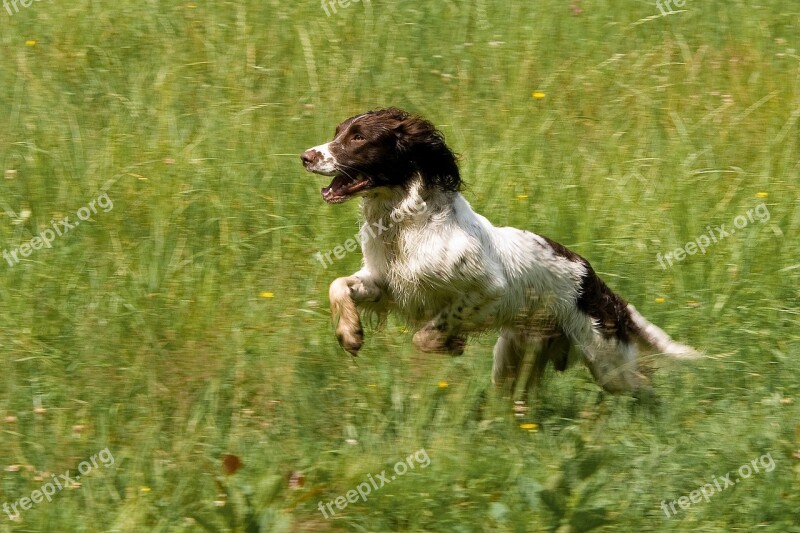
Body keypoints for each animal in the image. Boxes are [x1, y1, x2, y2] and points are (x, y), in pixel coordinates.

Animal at [300, 107, 692, 394]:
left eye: (359, 137)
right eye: (338, 131)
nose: (305, 156)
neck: (404, 225)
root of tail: (596, 283)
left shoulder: (488, 289)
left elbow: (425, 334)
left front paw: (451, 344)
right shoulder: (385, 284)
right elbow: (338, 285)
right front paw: (350, 334)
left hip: (606, 360)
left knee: (645, 384)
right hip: (515, 356)